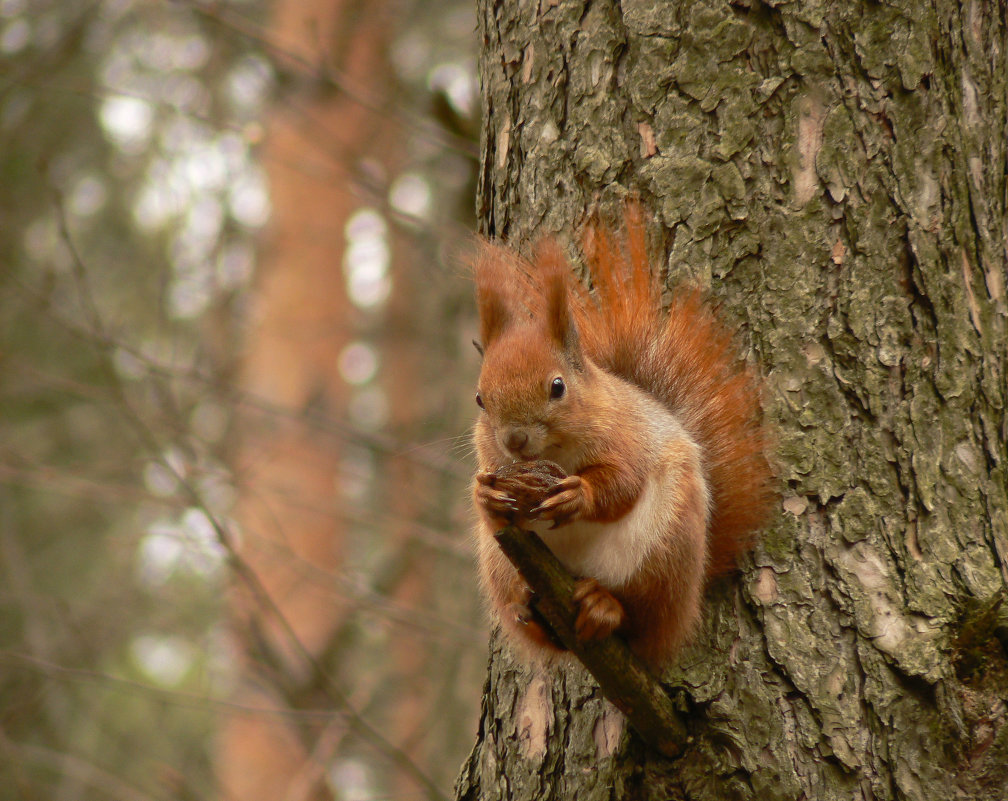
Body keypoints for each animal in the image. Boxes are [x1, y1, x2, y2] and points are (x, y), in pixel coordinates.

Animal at [469, 206, 770, 664]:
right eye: (480, 399)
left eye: (557, 387)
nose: (514, 440)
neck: (558, 453)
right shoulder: (491, 459)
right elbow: (489, 500)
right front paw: (486, 494)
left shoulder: (629, 435)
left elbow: (624, 482)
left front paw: (578, 494)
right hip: (499, 563)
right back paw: (532, 611)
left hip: (666, 548)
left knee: (640, 618)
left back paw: (605, 607)